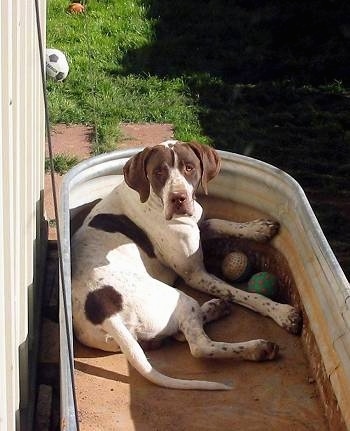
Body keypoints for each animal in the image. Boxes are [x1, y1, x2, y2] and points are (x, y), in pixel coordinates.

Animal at [71, 142, 300, 392]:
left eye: (189, 168)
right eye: (158, 172)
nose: (178, 199)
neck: (152, 199)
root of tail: (104, 312)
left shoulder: (198, 225)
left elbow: (216, 222)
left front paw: (257, 228)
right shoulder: (195, 275)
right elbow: (243, 294)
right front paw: (281, 312)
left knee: (180, 334)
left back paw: (213, 308)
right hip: (179, 299)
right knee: (199, 346)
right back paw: (257, 348)